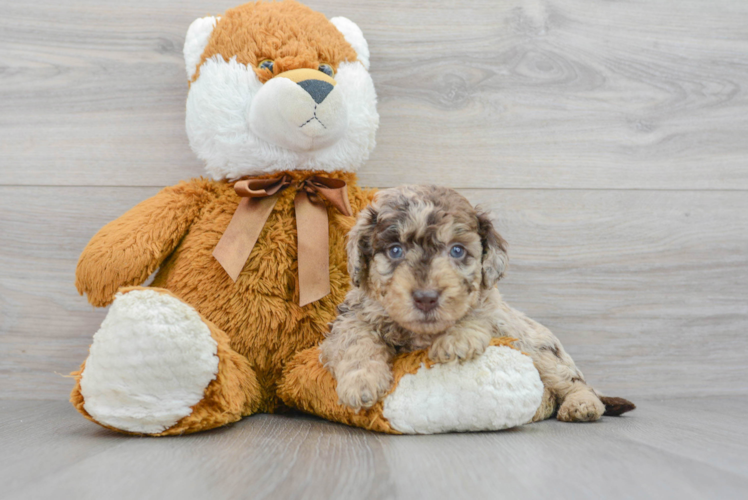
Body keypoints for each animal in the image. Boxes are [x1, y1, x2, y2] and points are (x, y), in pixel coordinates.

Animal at [318, 186, 636, 420]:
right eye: (395, 250)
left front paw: (457, 338)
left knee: (575, 382)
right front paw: (361, 381)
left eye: (457, 250)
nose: (426, 297)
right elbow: (355, 340)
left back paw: (582, 405)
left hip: (542, 350)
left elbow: (481, 310)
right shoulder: (351, 316)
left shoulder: (497, 312)